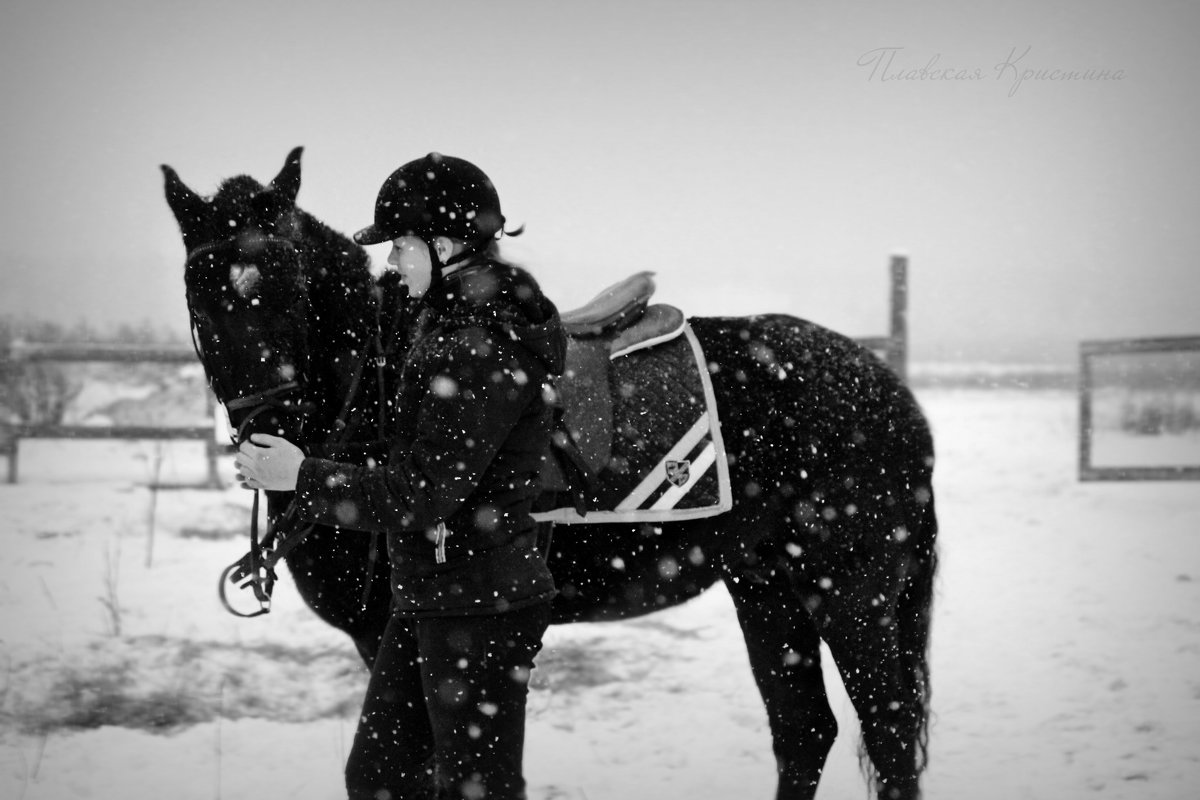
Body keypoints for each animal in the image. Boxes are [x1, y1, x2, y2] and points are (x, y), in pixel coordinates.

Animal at [164, 146, 936, 796]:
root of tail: (886, 387)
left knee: (889, 733)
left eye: (293, 287)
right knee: (804, 731)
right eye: (198, 295)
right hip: (767, 585)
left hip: (850, 590)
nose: (272, 435)